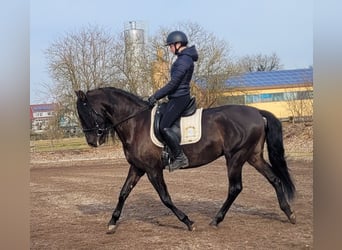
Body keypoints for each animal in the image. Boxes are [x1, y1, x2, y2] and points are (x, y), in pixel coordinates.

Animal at [76, 87, 296, 233]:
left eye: (85, 113)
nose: (92, 141)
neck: (136, 123)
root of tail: (257, 112)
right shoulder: (138, 168)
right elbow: (123, 193)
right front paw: (112, 223)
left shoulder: (153, 169)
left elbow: (165, 198)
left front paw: (188, 222)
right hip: (253, 156)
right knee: (274, 179)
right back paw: (289, 213)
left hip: (235, 157)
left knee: (235, 188)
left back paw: (216, 220)